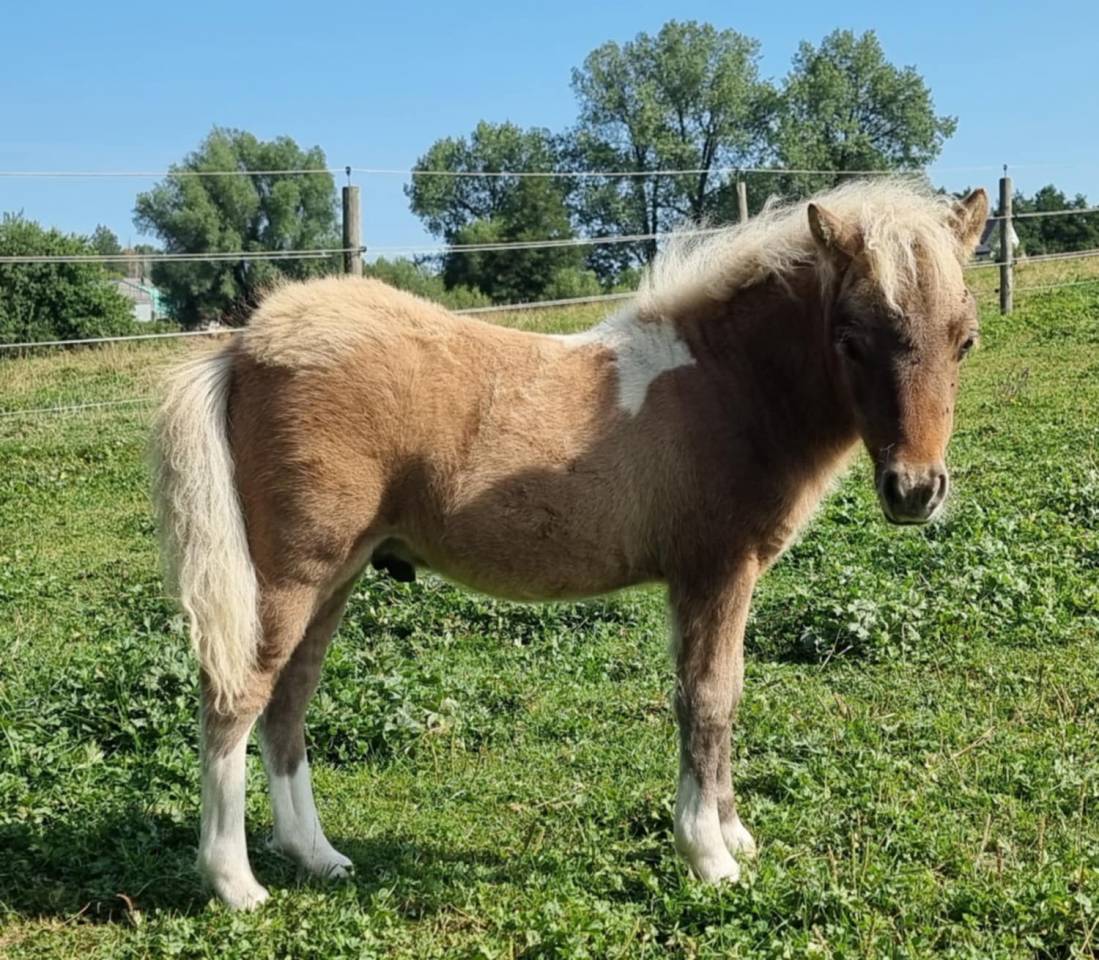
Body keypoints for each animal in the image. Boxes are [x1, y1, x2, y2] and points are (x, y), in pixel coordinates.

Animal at [152, 178, 989, 909]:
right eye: (847, 340)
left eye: (964, 340)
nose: (914, 490)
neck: (724, 386)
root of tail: (245, 344)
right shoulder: (712, 572)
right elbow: (706, 700)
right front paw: (710, 858)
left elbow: (728, 695)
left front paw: (733, 835)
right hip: (289, 574)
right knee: (234, 699)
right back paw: (235, 884)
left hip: (338, 576)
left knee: (287, 702)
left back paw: (315, 855)